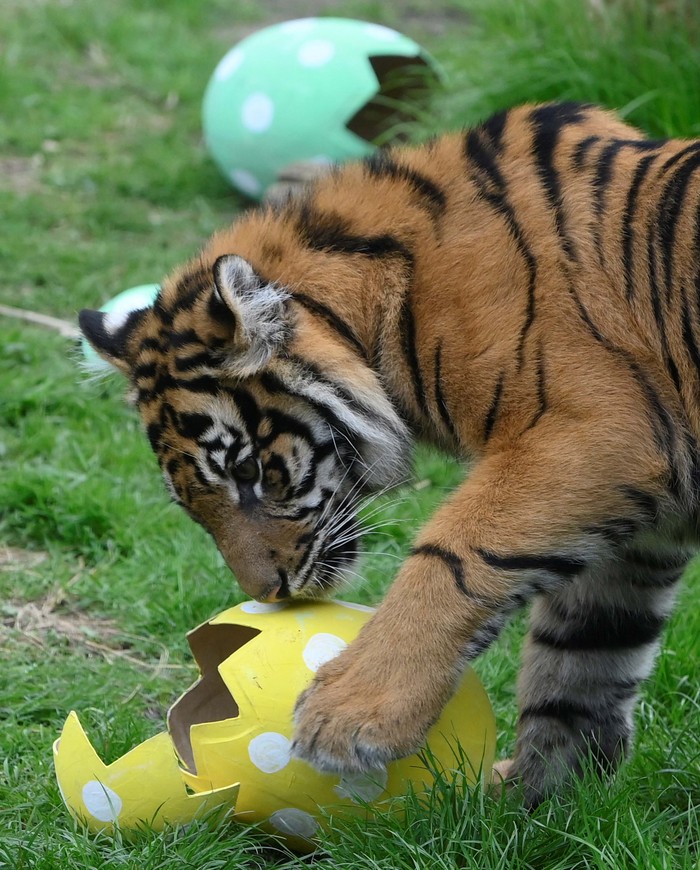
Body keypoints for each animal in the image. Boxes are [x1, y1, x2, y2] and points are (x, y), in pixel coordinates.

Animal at [80, 102, 700, 807]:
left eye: (248, 471)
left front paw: (348, 716)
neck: (395, 309)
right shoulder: (636, 532)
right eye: (192, 505)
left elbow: (454, 555)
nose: (268, 594)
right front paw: (534, 802)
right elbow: (580, 660)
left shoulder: (595, 432)